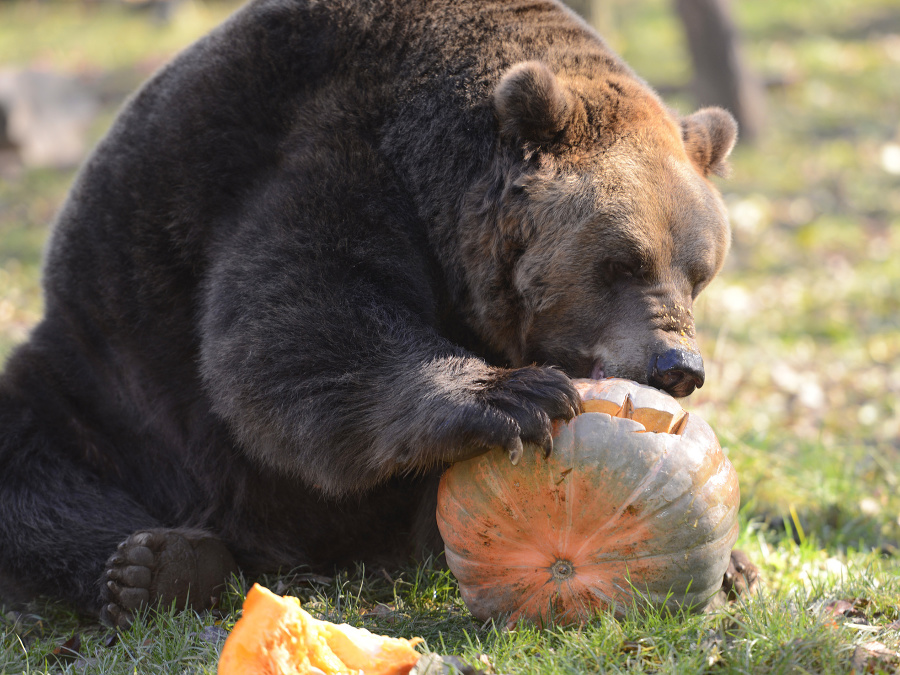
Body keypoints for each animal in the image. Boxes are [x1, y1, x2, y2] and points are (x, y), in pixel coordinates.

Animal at [0, 0, 740, 628]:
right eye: (621, 263)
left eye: (700, 272)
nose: (677, 365)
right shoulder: (331, 153)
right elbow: (297, 318)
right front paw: (517, 395)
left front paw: (735, 562)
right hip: (110, 389)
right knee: (39, 473)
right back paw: (156, 565)